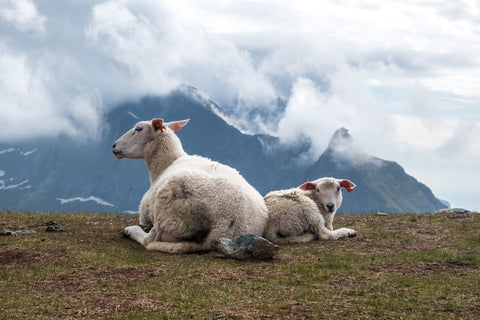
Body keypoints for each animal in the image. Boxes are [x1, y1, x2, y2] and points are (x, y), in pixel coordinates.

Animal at [113, 116, 270, 254]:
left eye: (138, 129)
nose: (114, 146)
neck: (166, 164)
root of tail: (223, 226)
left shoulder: (146, 214)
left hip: (167, 209)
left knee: (149, 239)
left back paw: (130, 230)